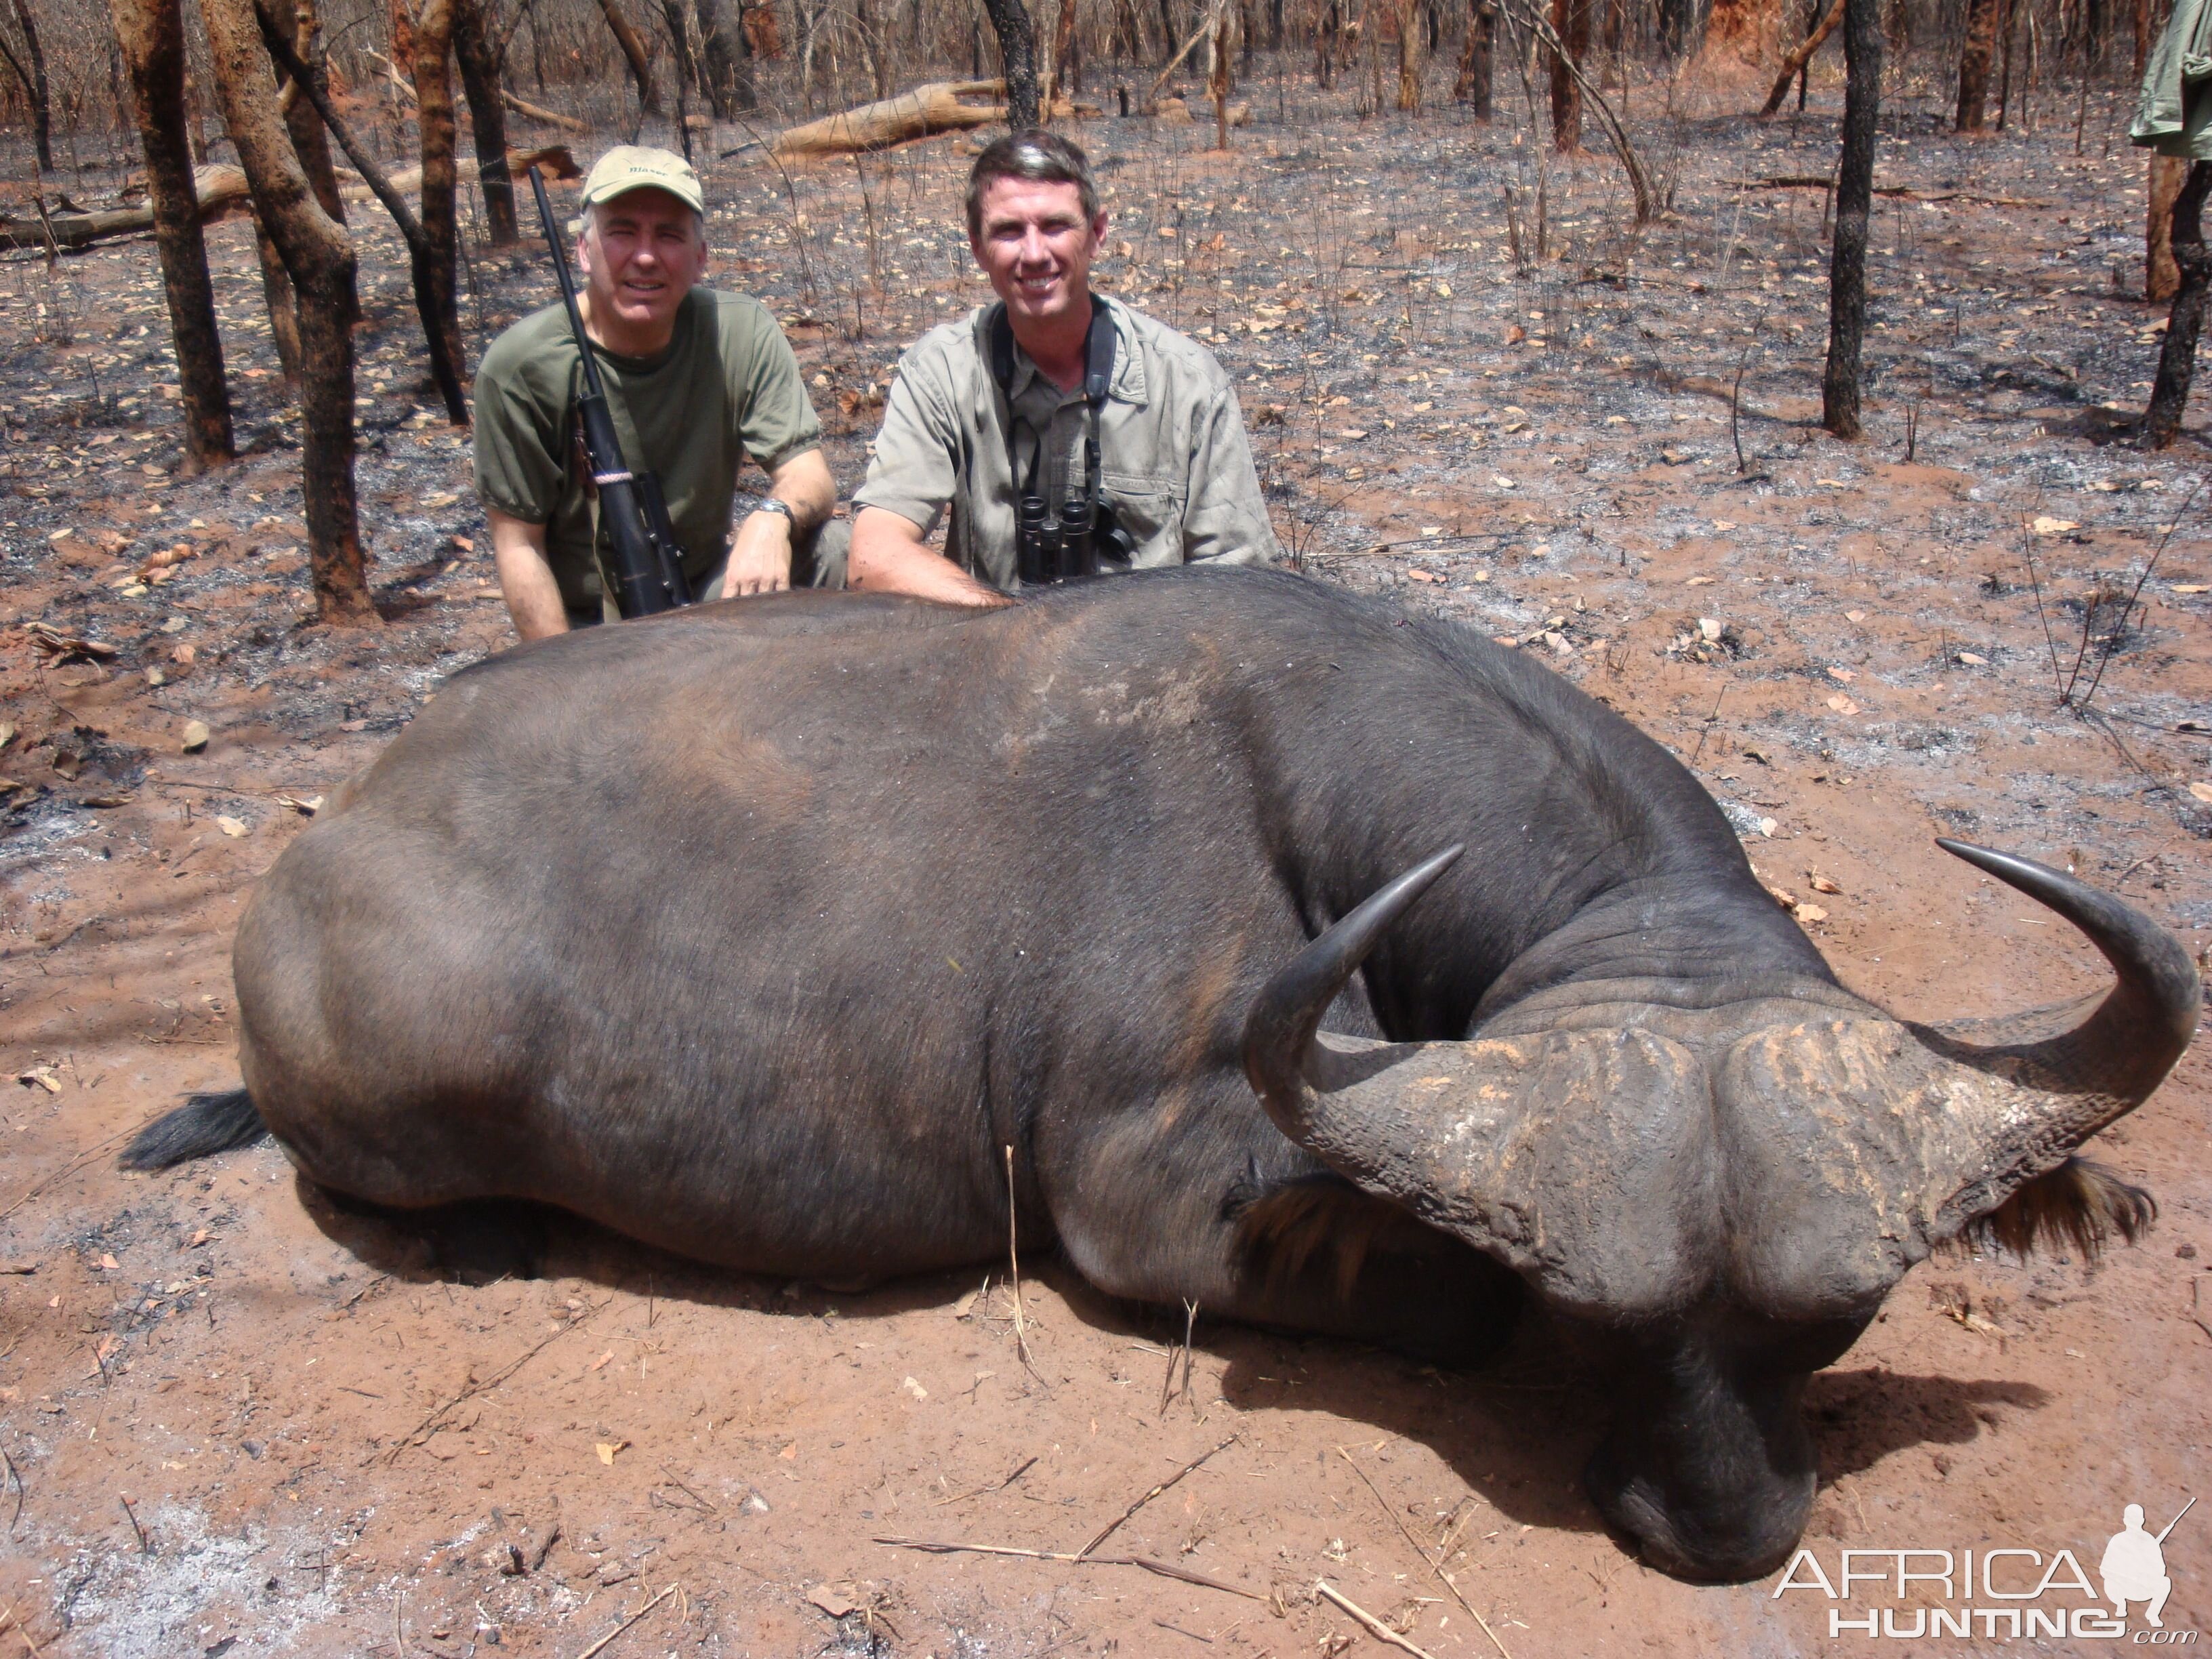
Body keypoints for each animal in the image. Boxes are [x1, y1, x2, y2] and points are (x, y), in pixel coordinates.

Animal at [134, 571, 2194, 1584]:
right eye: (1596, 1332)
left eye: (1836, 1328)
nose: (1721, 1537)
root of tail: (337, 826)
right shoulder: (1140, 1194)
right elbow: (1442, 1307)